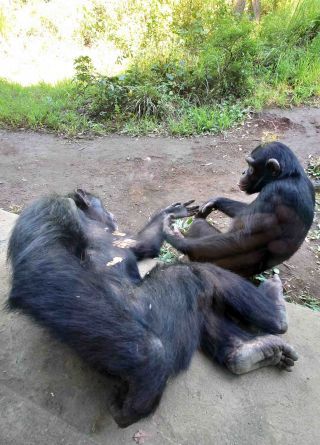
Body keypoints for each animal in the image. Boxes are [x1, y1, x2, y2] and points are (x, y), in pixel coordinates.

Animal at [6, 190, 298, 426]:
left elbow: (143, 244)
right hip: (133, 324)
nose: (112, 214)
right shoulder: (51, 207)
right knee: (193, 273)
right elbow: (43, 264)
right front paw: (146, 380)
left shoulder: (124, 237)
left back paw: (251, 351)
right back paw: (275, 314)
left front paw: (170, 213)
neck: (94, 226)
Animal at [162, 142, 316, 276]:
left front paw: (175, 238)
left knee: (200, 225)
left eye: (251, 167)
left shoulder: (274, 193)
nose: (243, 172)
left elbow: (241, 239)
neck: (288, 176)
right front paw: (215, 201)